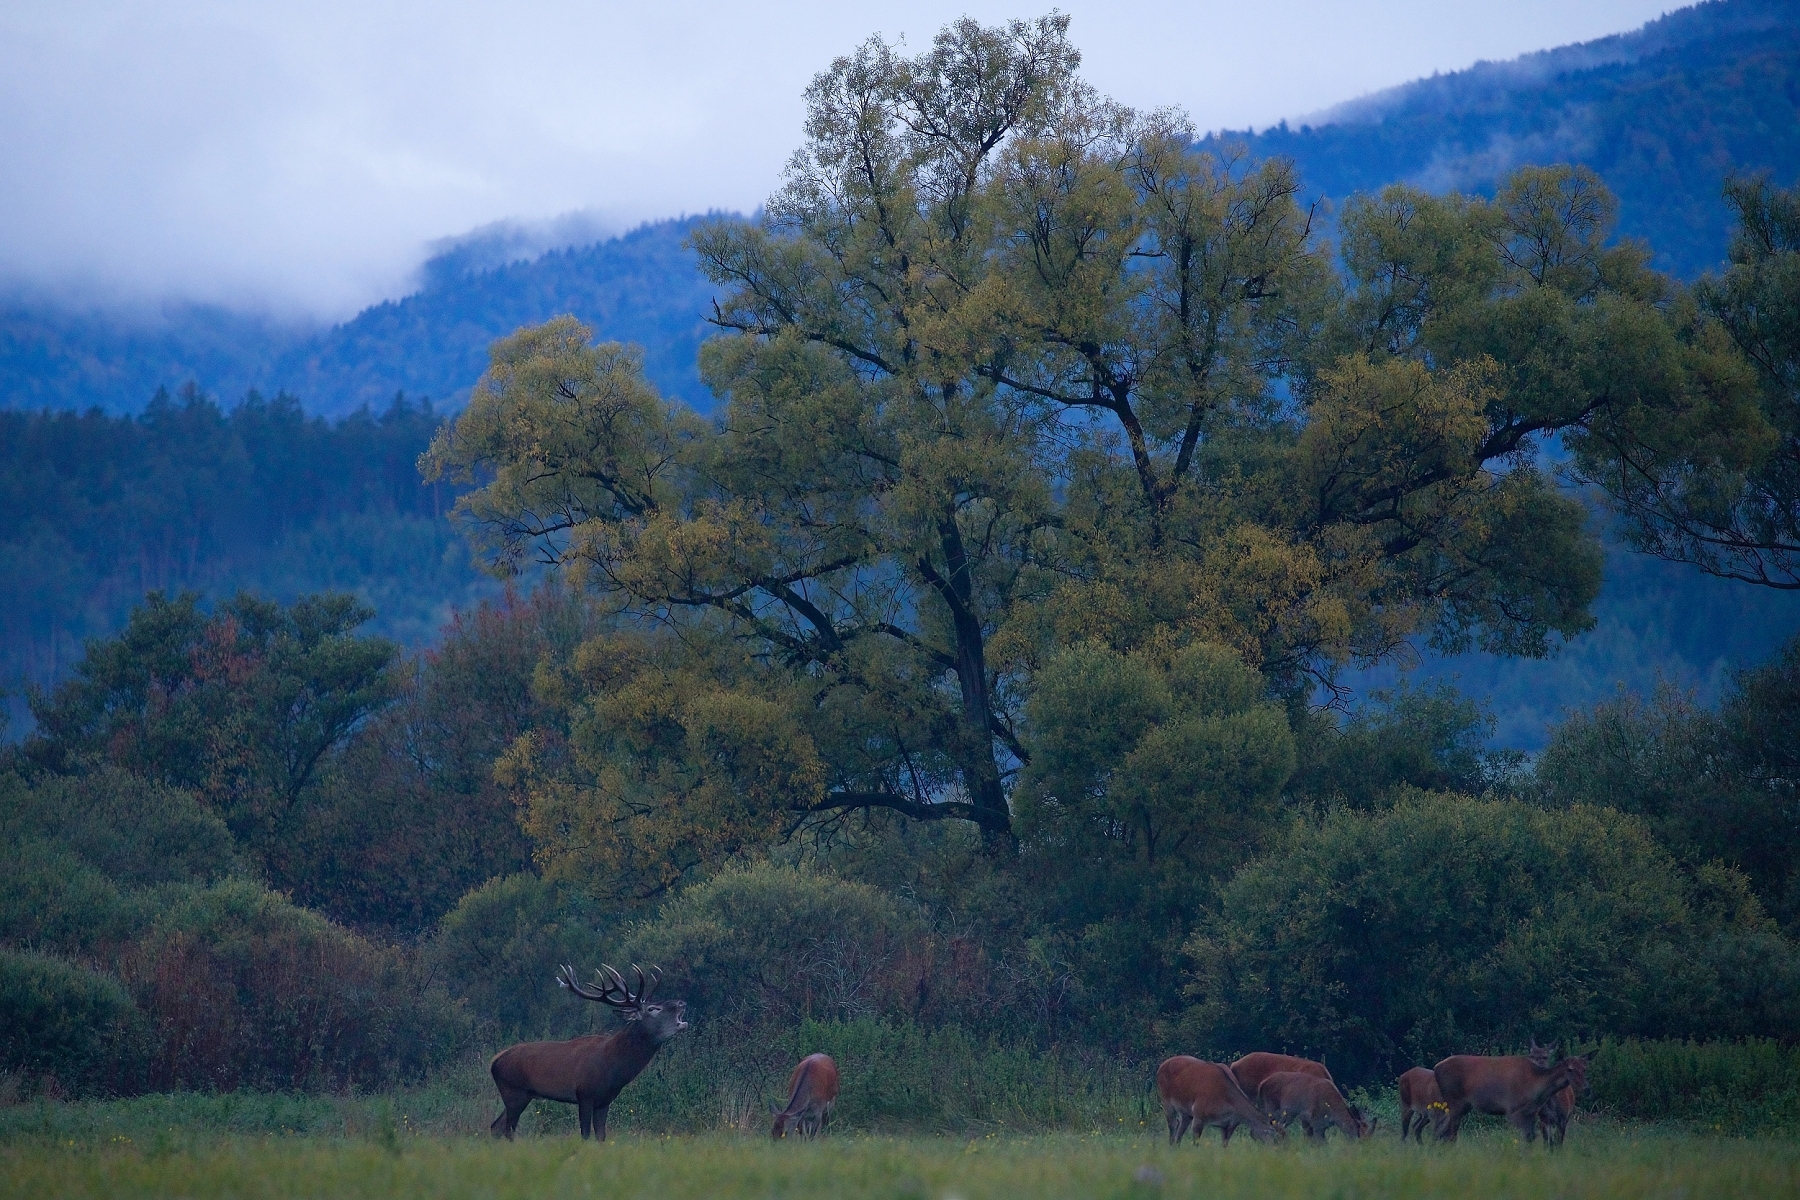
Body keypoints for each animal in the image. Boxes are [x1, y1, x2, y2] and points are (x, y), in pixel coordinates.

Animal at [489, 964, 684, 1144]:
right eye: (653, 1008)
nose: (682, 1003)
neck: (613, 1067)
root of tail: (494, 1061)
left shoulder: (604, 1100)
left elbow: (601, 1136)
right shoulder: (584, 1093)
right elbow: (585, 1134)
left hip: (521, 1094)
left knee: (496, 1126)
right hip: (514, 1091)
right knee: (507, 1129)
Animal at [1159, 1057, 1288, 1151]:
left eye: (1285, 1140)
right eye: (1276, 1140)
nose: (1281, 1152)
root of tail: (1162, 1065)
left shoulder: (1229, 1123)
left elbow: (1225, 1145)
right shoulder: (1199, 1114)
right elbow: (1196, 1142)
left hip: (1186, 1112)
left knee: (1180, 1126)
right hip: (1166, 1100)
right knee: (1172, 1125)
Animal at [1432, 1050, 1591, 1144]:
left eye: (1584, 1068)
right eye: (1570, 1069)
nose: (1586, 1088)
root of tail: (1436, 1067)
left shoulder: (1531, 1113)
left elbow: (1532, 1137)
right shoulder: (1515, 1109)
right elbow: (1529, 1137)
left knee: (1442, 1133)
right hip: (1455, 1102)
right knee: (1450, 1135)